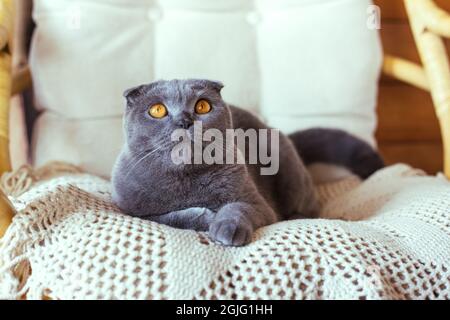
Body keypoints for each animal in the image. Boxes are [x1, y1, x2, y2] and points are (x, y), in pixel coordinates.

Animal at [111, 79, 384, 246]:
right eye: (157, 110)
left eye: (202, 106)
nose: (185, 120)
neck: (186, 180)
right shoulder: (133, 210)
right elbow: (170, 217)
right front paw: (206, 217)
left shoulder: (259, 204)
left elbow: (238, 207)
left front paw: (226, 228)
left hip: (287, 164)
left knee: (309, 207)